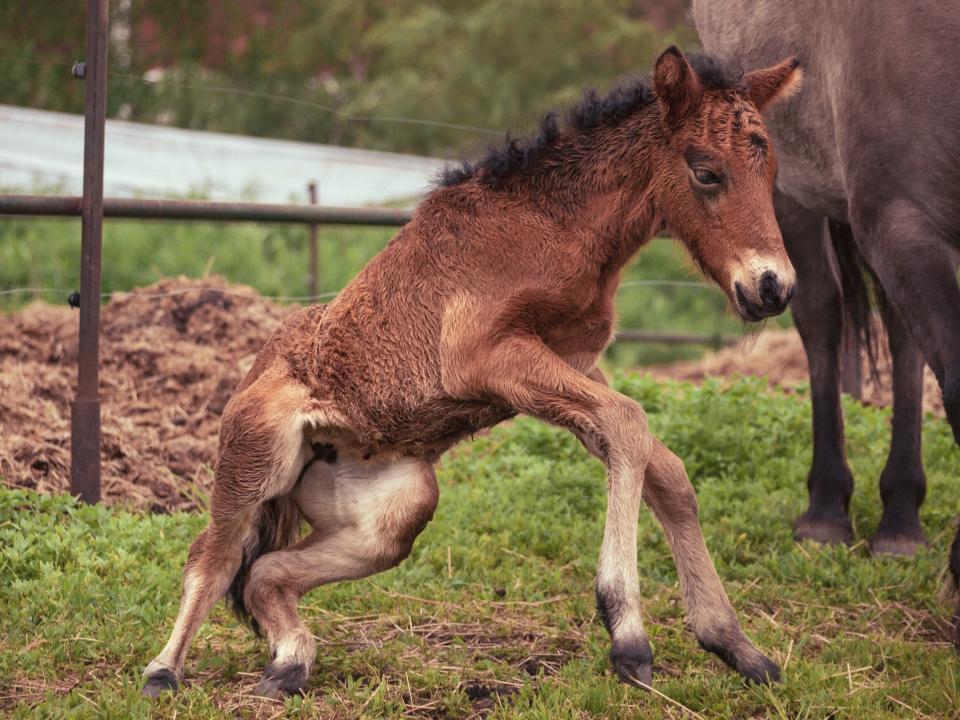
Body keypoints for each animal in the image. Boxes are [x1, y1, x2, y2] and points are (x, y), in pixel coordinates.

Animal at [142, 46, 804, 696]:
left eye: (772, 174)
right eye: (706, 172)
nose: (773, 287)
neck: (549, 227)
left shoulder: (573, 364)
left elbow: (662, 467)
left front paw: (736, 645)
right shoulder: (489, 357)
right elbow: (629, 422)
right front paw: (628, 637)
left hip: (394, 515)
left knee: (264, 573)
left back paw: (287, 665)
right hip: (257, 460)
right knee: (214, 557)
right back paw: (163, 671)